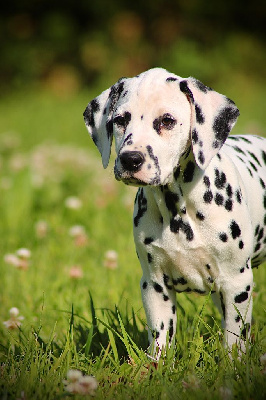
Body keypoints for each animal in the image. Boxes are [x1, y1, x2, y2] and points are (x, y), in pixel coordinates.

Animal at [83, 68, 266, 356]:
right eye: (120, 120)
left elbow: (234, 338)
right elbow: (160, 337)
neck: (178, 208)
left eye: (167, 121)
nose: (130, 159)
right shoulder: (154, 284)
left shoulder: (237, 282)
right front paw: (155, 364)